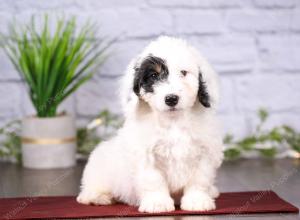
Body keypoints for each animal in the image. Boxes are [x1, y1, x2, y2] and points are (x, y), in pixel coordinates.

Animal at [76, 36, 224, 213]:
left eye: (183, 73)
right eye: (154, 75)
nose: (171, 99)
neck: (173, 121)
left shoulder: (205, 152)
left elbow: (199, 179)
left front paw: (197, 201)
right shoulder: (145, 155)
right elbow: (153, 180)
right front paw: (157, 203)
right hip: (100, 170)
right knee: (89, 190)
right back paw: (98, 197)